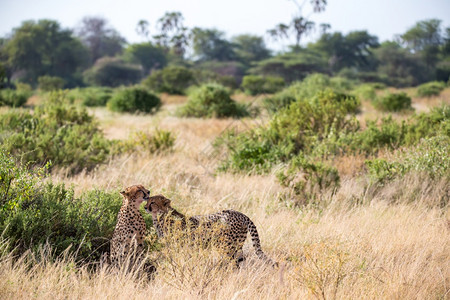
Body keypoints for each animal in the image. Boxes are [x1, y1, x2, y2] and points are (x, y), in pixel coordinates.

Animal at [146, 196, 276, 266]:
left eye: (152, 202)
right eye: (147, 200)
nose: (145, 207)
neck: (160, 215)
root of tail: (240, 213)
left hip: (228, 246)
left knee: (234, 263)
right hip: (236, 246)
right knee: (240, 260)